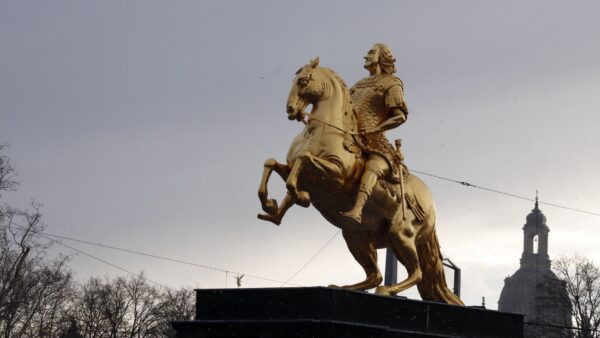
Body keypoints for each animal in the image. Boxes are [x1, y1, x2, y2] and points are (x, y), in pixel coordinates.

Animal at [258, 56, 464, 304]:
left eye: (304, 81)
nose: (291, 109)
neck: (322, 130)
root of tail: (431, 204)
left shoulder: (337, 174)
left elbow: (304, 160)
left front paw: (300, 196)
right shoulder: (291, 167)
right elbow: (272, 163)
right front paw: (271, 206)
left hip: (400, 234)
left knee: (415, 273)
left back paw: (387, 290)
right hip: (355, 237)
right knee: (375, 275)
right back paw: (343, 286)